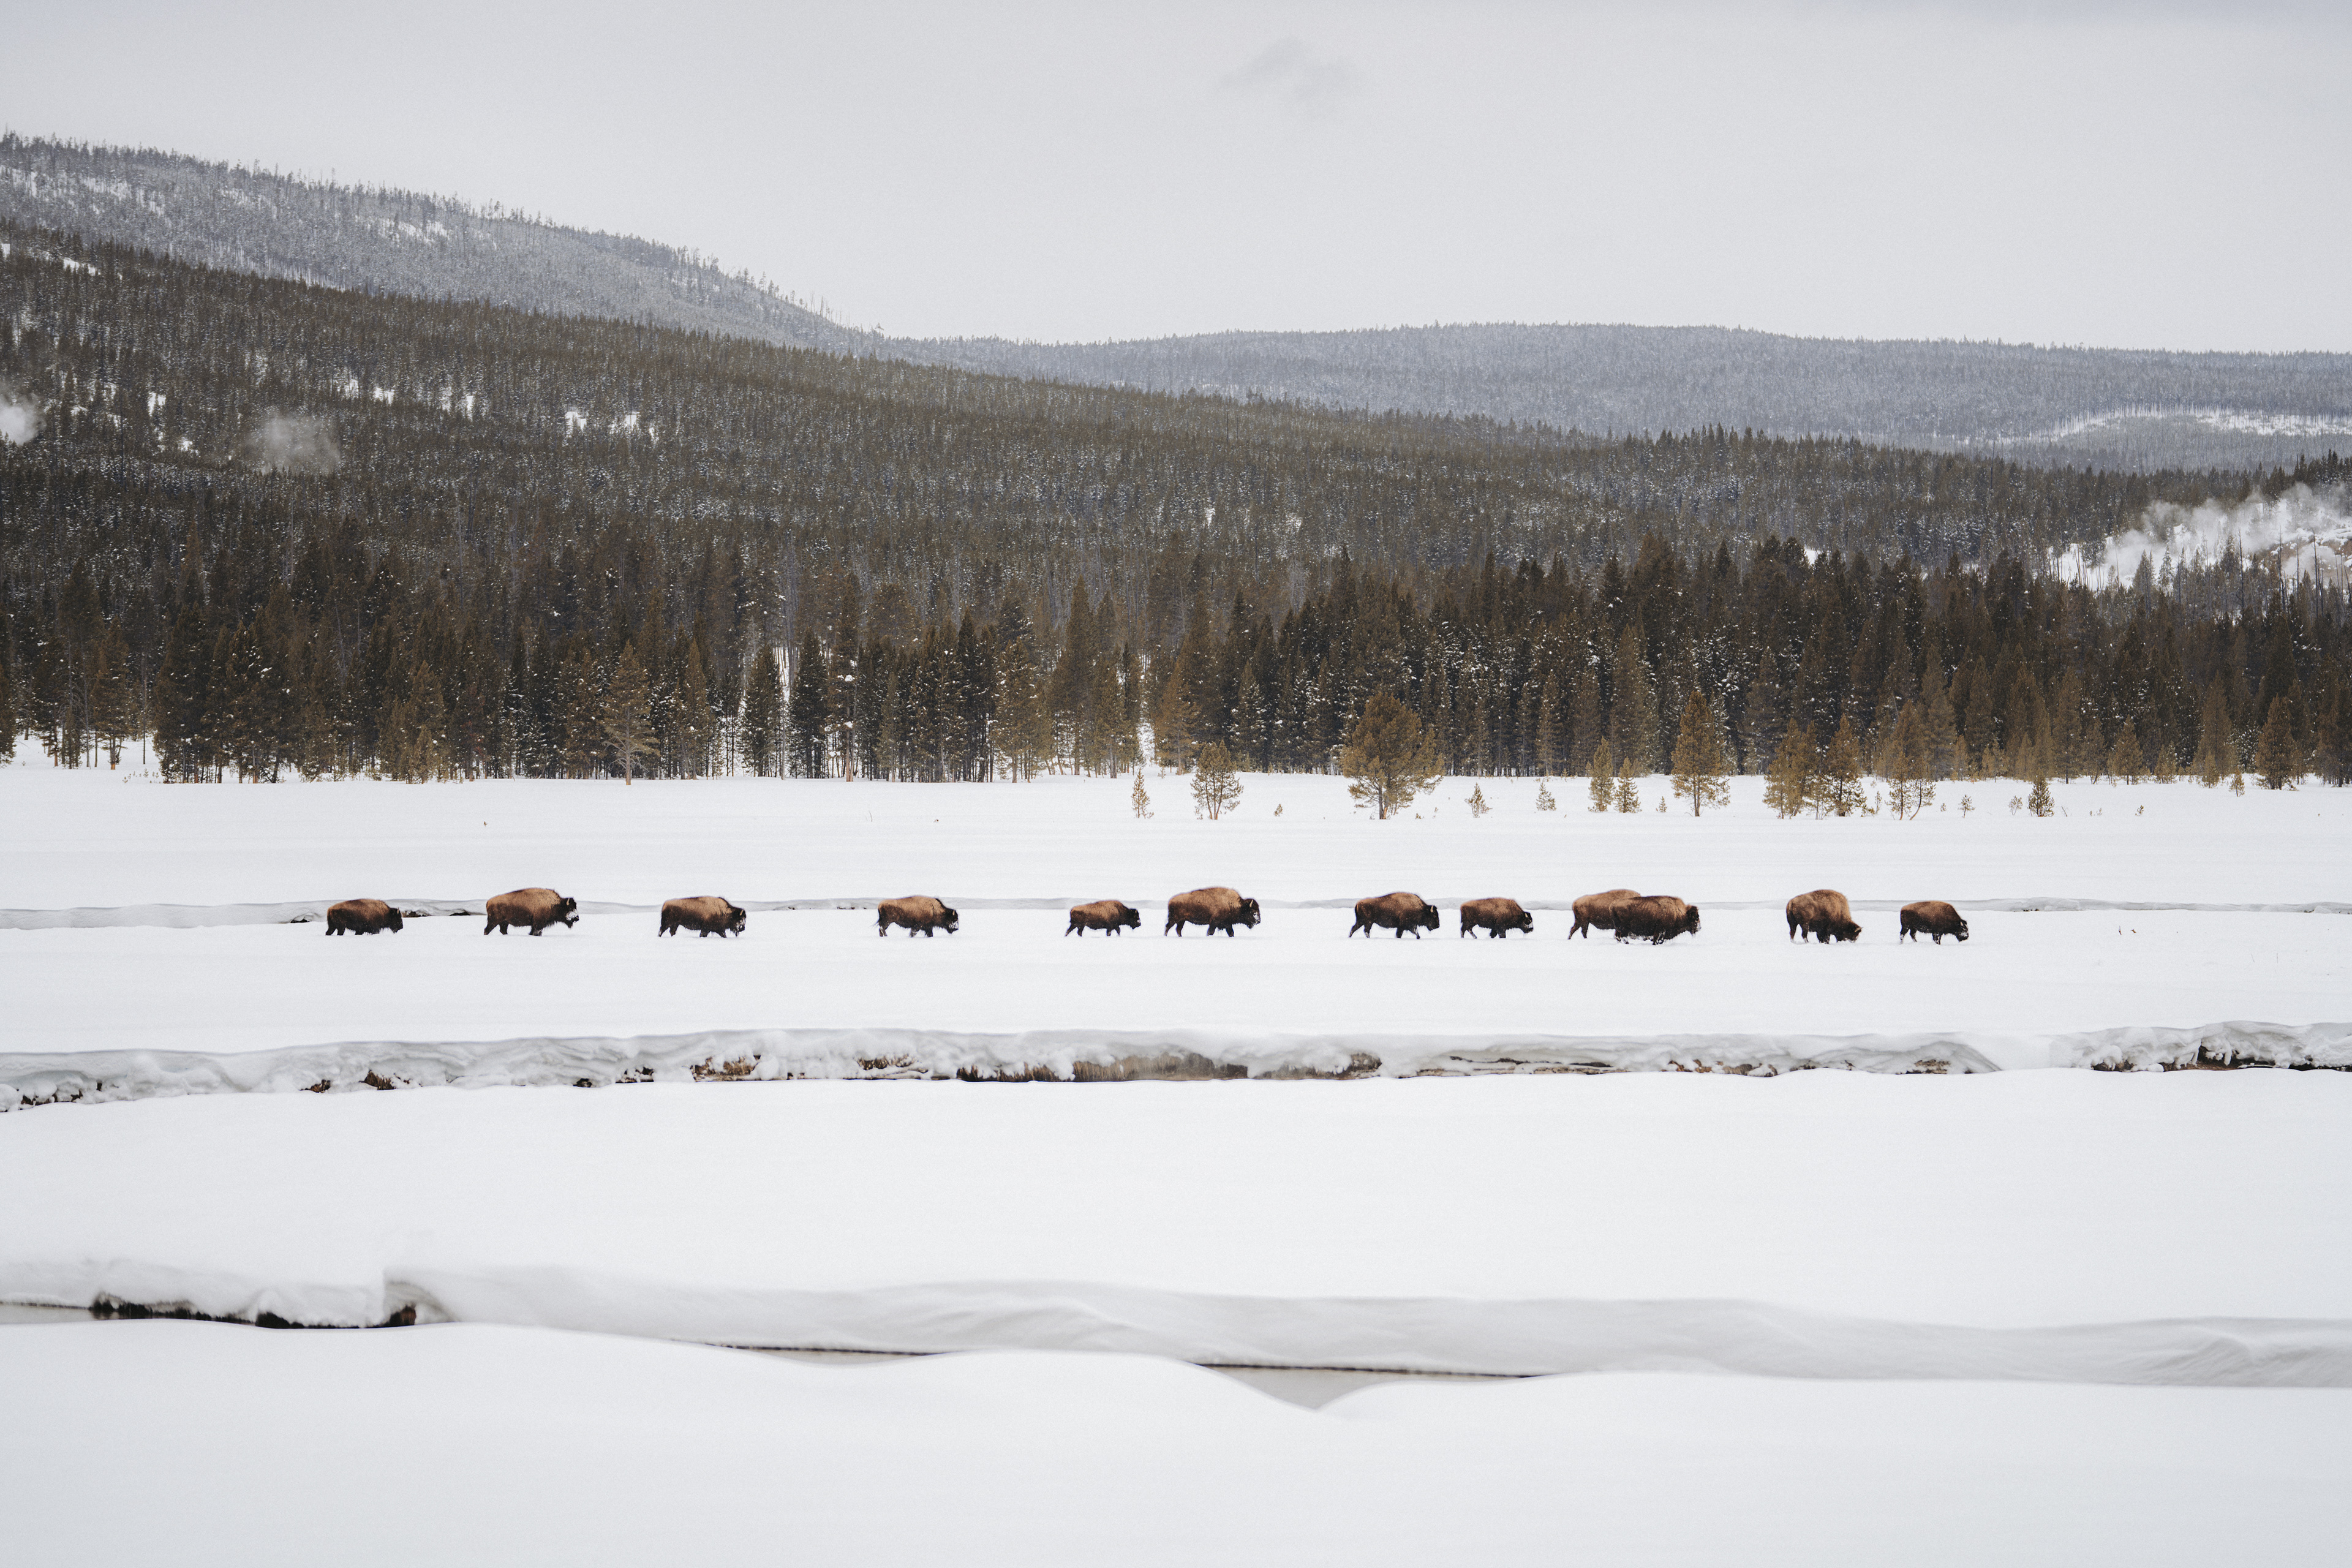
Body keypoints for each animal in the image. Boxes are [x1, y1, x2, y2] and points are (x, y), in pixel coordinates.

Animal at [484, 888, 579, 936]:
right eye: (570, 908)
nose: (577, 918)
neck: (554, 904)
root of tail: (489, 902)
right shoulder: (539, 924)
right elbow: (537, 932)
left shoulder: (535, 924)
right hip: (494, 921)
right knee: (487, 929)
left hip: (504, 922)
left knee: (503, 930)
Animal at [661, 896, 747, 938]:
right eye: (739, 919)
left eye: (744, 919)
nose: (743, 928)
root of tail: (665, 904)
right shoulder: (706, 929)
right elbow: (703, 935)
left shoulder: (719, 929)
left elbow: (724, 935)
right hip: (667, 923)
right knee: (661, 930)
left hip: (675, 924)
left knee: (672, 931)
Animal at [878, 895, 960, 937]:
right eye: (953, 919)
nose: (956, 928)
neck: (934, 909)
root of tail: (880, 905)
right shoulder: (918, 926)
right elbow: (913, 933)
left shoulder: (928, 927)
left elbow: (930, 934)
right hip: (888, 921)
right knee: (882, 928)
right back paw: (886, 936)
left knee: (881, 928)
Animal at [1165, 886, 1260, 937]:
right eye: (1253, 912)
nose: (1258, 921)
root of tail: (1171, 901)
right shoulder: (1214, 923)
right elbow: (1210, 932)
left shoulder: (1228, 924)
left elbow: (1231, 933)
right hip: (1175, 919)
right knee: (1168, 927)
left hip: (1182, 921)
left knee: (1178, 929)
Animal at [1615, 895, 1700, 944]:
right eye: (1696, 918)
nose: (1699, 928)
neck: (1678, 912)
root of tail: (1614, 904)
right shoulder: (1660, 931)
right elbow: (1657, 939)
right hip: (1624, 929)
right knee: (1622, 937)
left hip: (1620, 929)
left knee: (1618, 937)